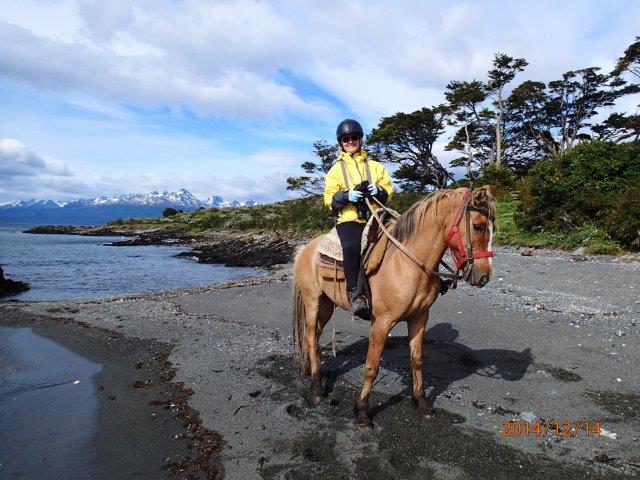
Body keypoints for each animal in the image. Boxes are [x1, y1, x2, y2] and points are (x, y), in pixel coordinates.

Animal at [291, 186, 496, 430]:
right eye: (478, 226)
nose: (484, 277)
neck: (405, 263)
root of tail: (306, 248)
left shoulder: (419, 318)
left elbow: (417, 360)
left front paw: (422, 404)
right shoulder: (382, 322)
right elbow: (371, 367)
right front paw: (362, 413)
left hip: (326, 305)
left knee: (314, 338)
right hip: (313, 301)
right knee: (311, 338)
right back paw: (316, 390)